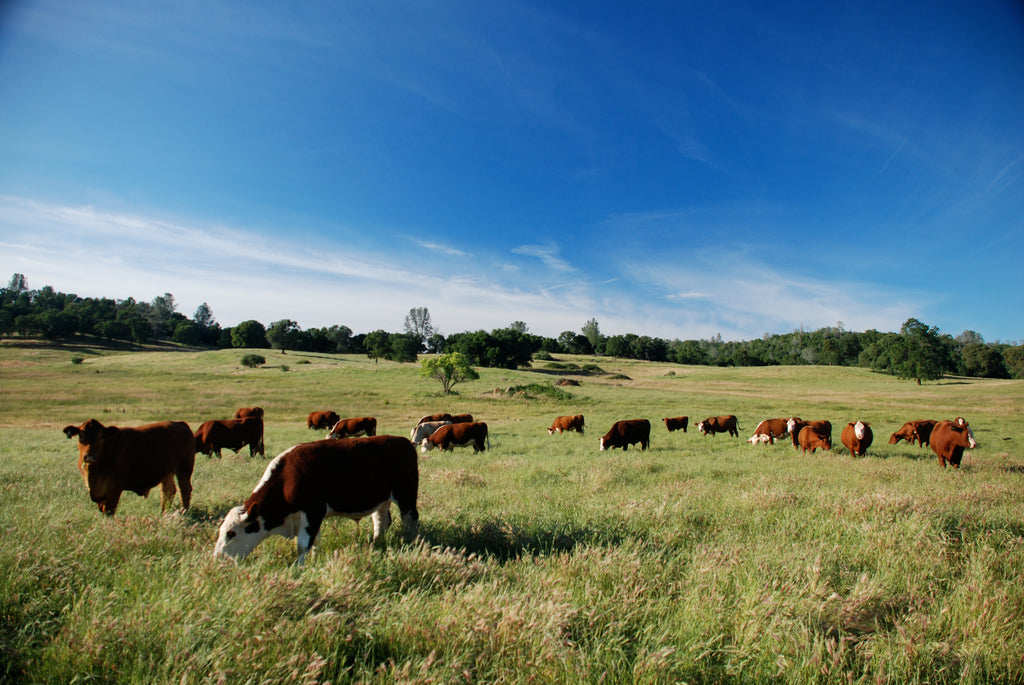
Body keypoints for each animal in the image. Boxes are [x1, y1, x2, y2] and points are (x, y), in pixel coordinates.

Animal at [61, 419, 195, 516]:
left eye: (101, 436)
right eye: (80, 435)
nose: (89, 457)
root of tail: (180, 423)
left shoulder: (115, 488)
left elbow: (109, 511)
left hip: (184, 469)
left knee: (184, 490)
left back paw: (184, 512)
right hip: (166, 472)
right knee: (168, 491)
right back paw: (163, 513)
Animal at [211, 436, 419, 565]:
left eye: (231, 534)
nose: (217, 558)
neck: (286, 479)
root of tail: (402, 441)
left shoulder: (312, 512)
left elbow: (303, 544)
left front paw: (299, 567)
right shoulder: (310, 517)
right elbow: (315, 541)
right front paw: (315, 558)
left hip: (406, 496)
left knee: (410, 519)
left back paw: (410, 541)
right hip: (382, 500)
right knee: (381, 520)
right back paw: (376, 543)